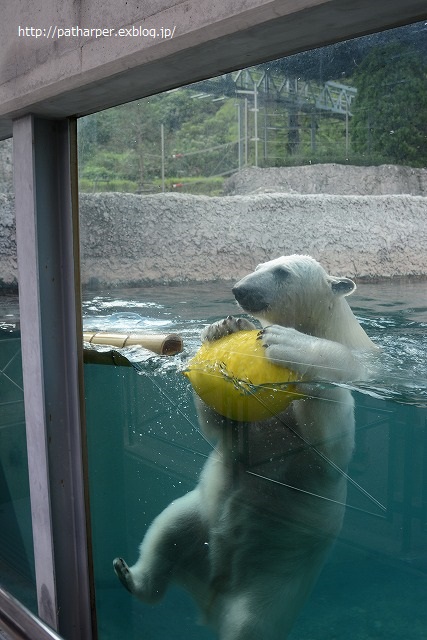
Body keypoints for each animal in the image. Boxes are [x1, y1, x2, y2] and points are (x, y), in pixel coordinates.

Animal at [113, 255, 378, 640]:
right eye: (259, 265)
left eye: (282, 272)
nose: (238, 290)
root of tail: (212, 597)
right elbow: (226, 427)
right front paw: (223, 328)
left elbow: (327, 444)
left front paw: (288, 343)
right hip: (197, 519)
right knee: (166, 533)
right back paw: (129, 574)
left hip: (275, 582)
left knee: (250, 623)